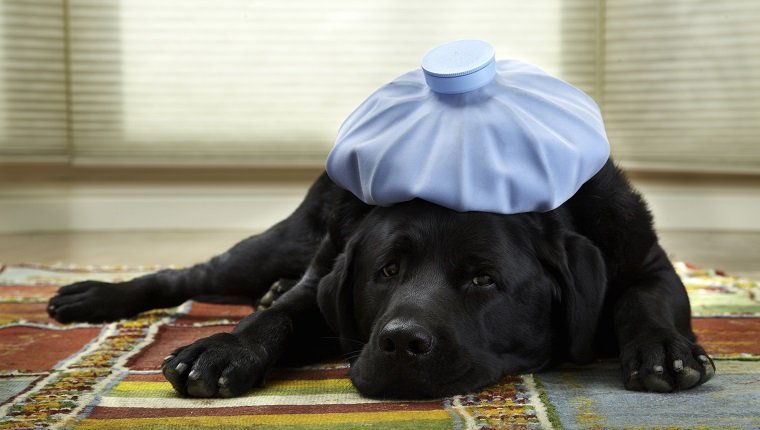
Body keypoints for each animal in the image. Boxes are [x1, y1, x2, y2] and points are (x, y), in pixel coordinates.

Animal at [46, 161, 712, 400]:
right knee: (186, 274)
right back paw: (92, 296)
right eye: (386, 271)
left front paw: (665, 353)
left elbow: (643, 304)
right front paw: (224, 348)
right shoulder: (324, 275)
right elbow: (277, 316)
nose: (399, 343)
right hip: (277, 246)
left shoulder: (646, 262)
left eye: (484, 280)